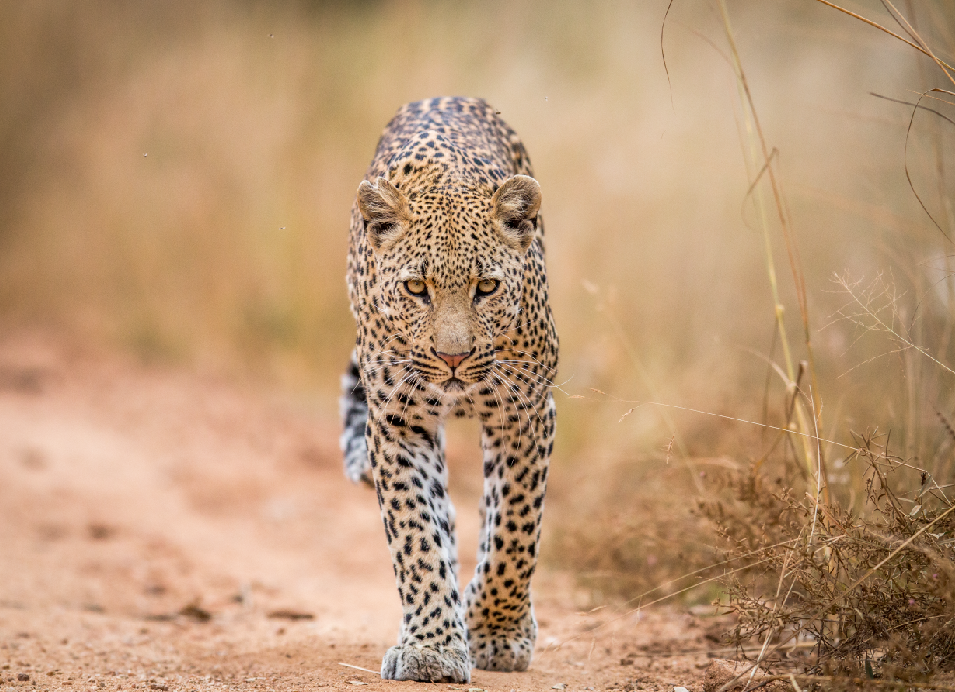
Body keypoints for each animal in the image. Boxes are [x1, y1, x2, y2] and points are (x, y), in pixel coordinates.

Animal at [339, 96, 558, 683]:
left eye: (487, 287)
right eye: (417, 287)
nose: (453, 357)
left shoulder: (525, 412)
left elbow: (514, 529)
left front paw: (498, 633)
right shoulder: (397, 421)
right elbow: (416, 534)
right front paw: (432, 648)